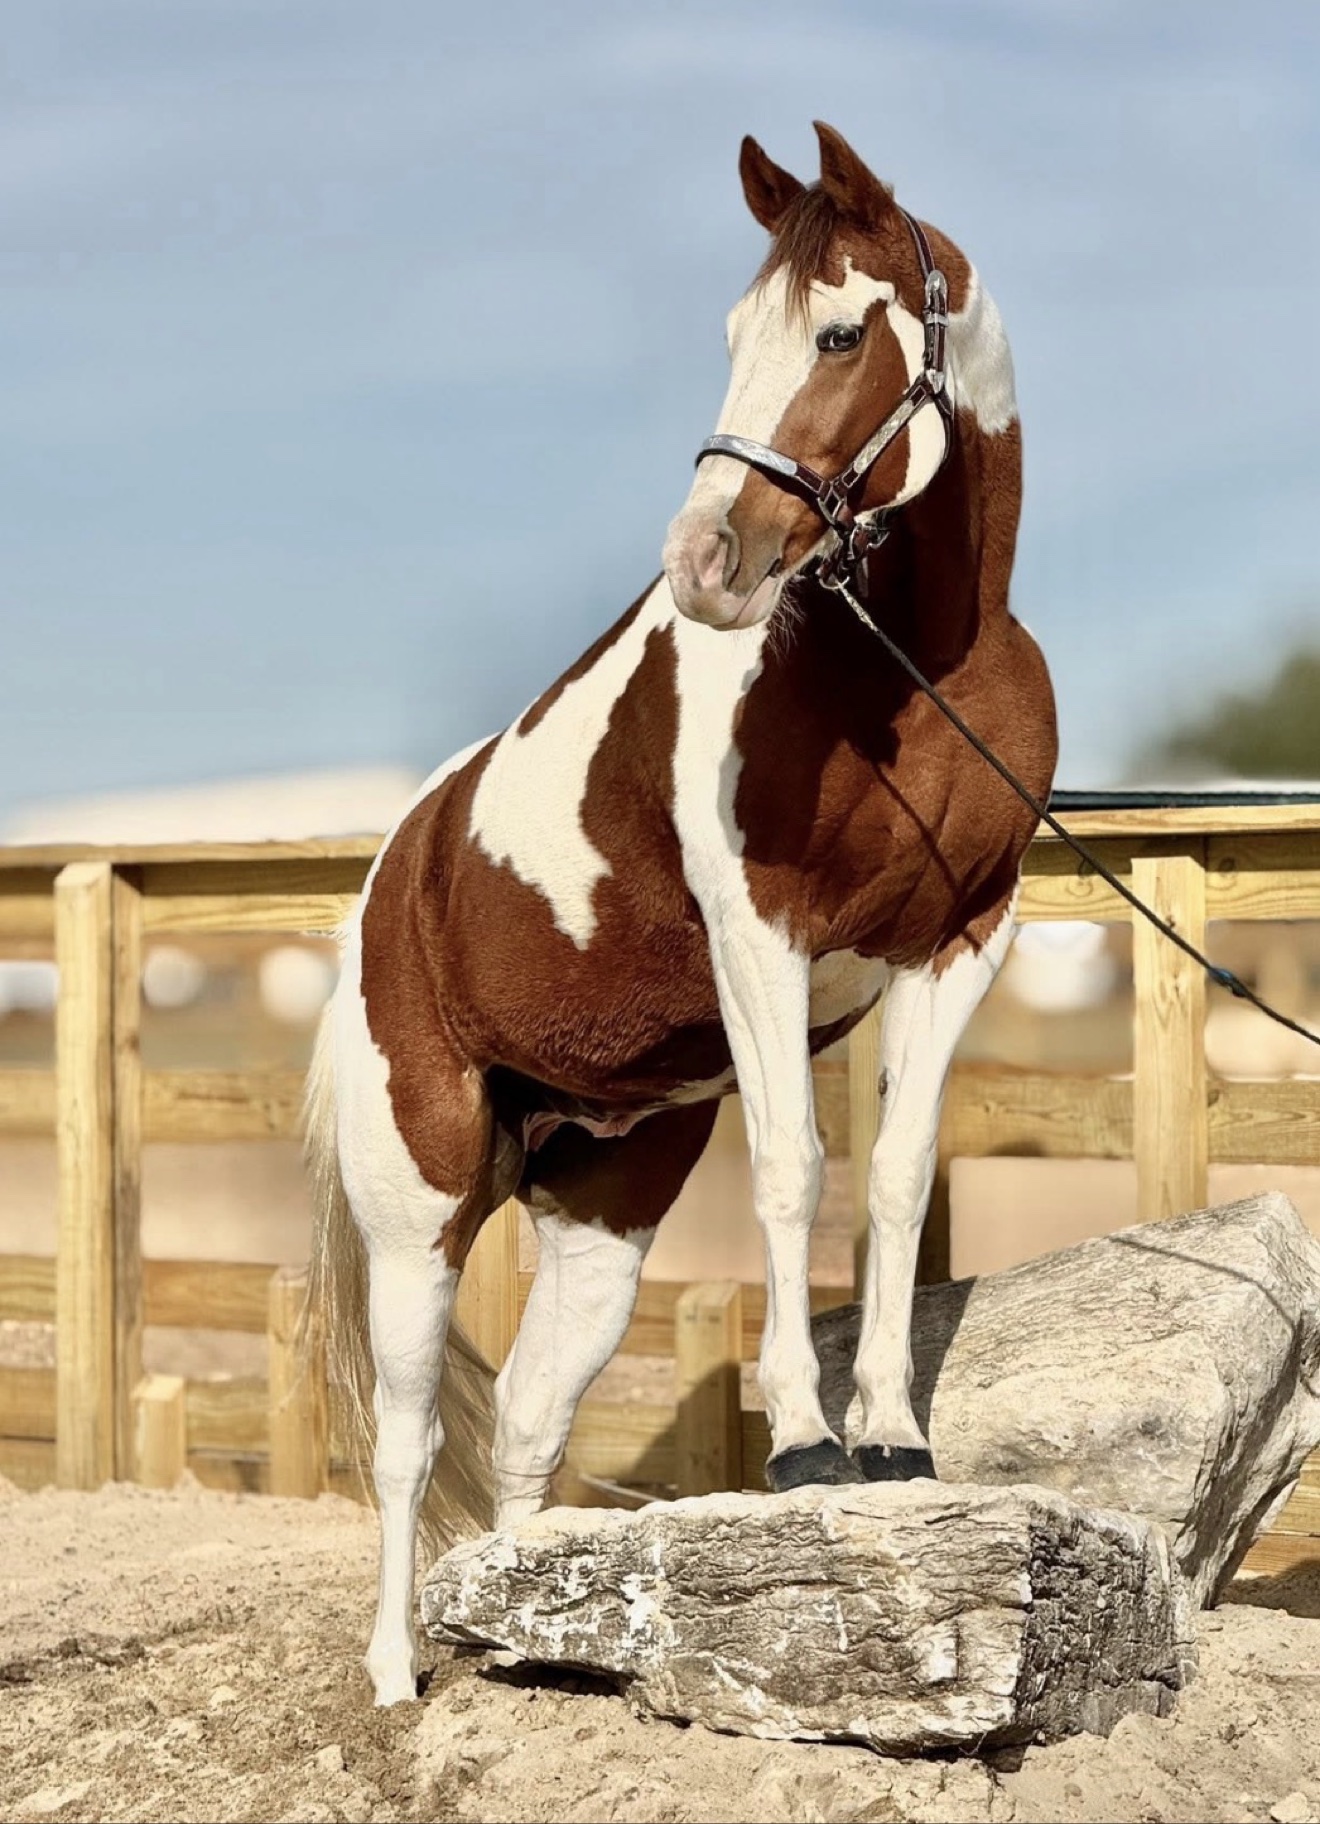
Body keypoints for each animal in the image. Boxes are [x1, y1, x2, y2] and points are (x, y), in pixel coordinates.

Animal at [306, 120, 1058, 1706]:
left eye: (838, 333)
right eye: (729, 335)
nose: (709, 560)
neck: (899, 669)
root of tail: (400, 869)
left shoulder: (962, 940)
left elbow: (897, 1178)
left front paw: (892, 1437)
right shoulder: (760, 934)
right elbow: (793, 1171)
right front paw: (805, 1444)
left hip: (601, 1212)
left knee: (528, 1421)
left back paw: (524, 1638)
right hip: (417, 1217)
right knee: (407, 1443)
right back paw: (399, 1670)